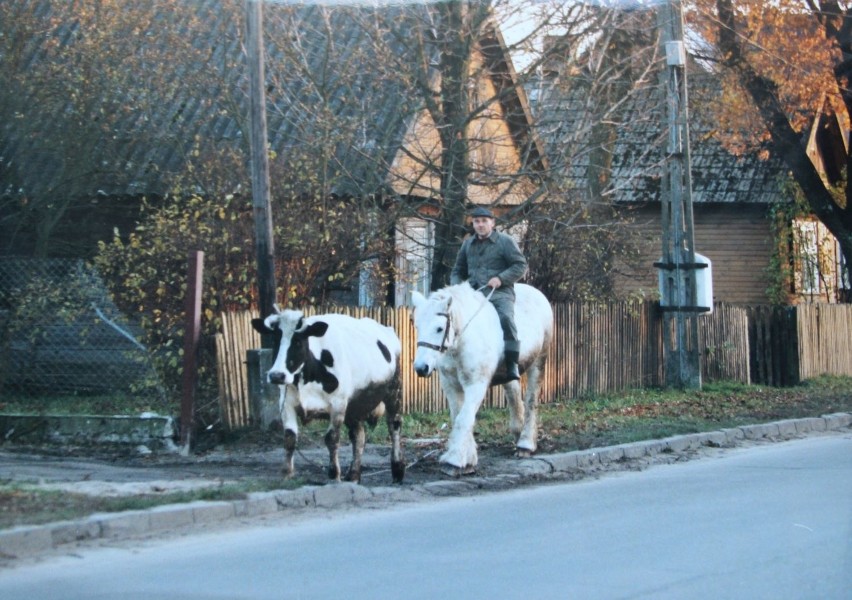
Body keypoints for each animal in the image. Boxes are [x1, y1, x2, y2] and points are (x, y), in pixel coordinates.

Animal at [251, 308, 404, 486]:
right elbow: (289, 438)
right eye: (275, 340)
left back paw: (397, 471)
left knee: (394, 426)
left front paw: (334, 475)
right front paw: (287, 474)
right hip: (354, 406)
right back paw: (353, 475)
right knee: (359, 436)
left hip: (394, 391)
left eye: (298, 342)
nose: (276, 375)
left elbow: (332, 438)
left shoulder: (338, 404)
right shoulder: (286, 403)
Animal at [412, 284, 556, 476]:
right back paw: (518, 433)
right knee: (513, 394)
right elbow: (458, 417)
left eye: (439, 328)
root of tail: (537, 293)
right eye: (418, 326)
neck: (461, 342)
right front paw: (468, 460)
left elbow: (464, 419)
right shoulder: (451, 386)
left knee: (531, 400)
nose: (421, 368)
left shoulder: (476, 385)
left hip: (539, 360)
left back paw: (526, 444)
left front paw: (454, 461)